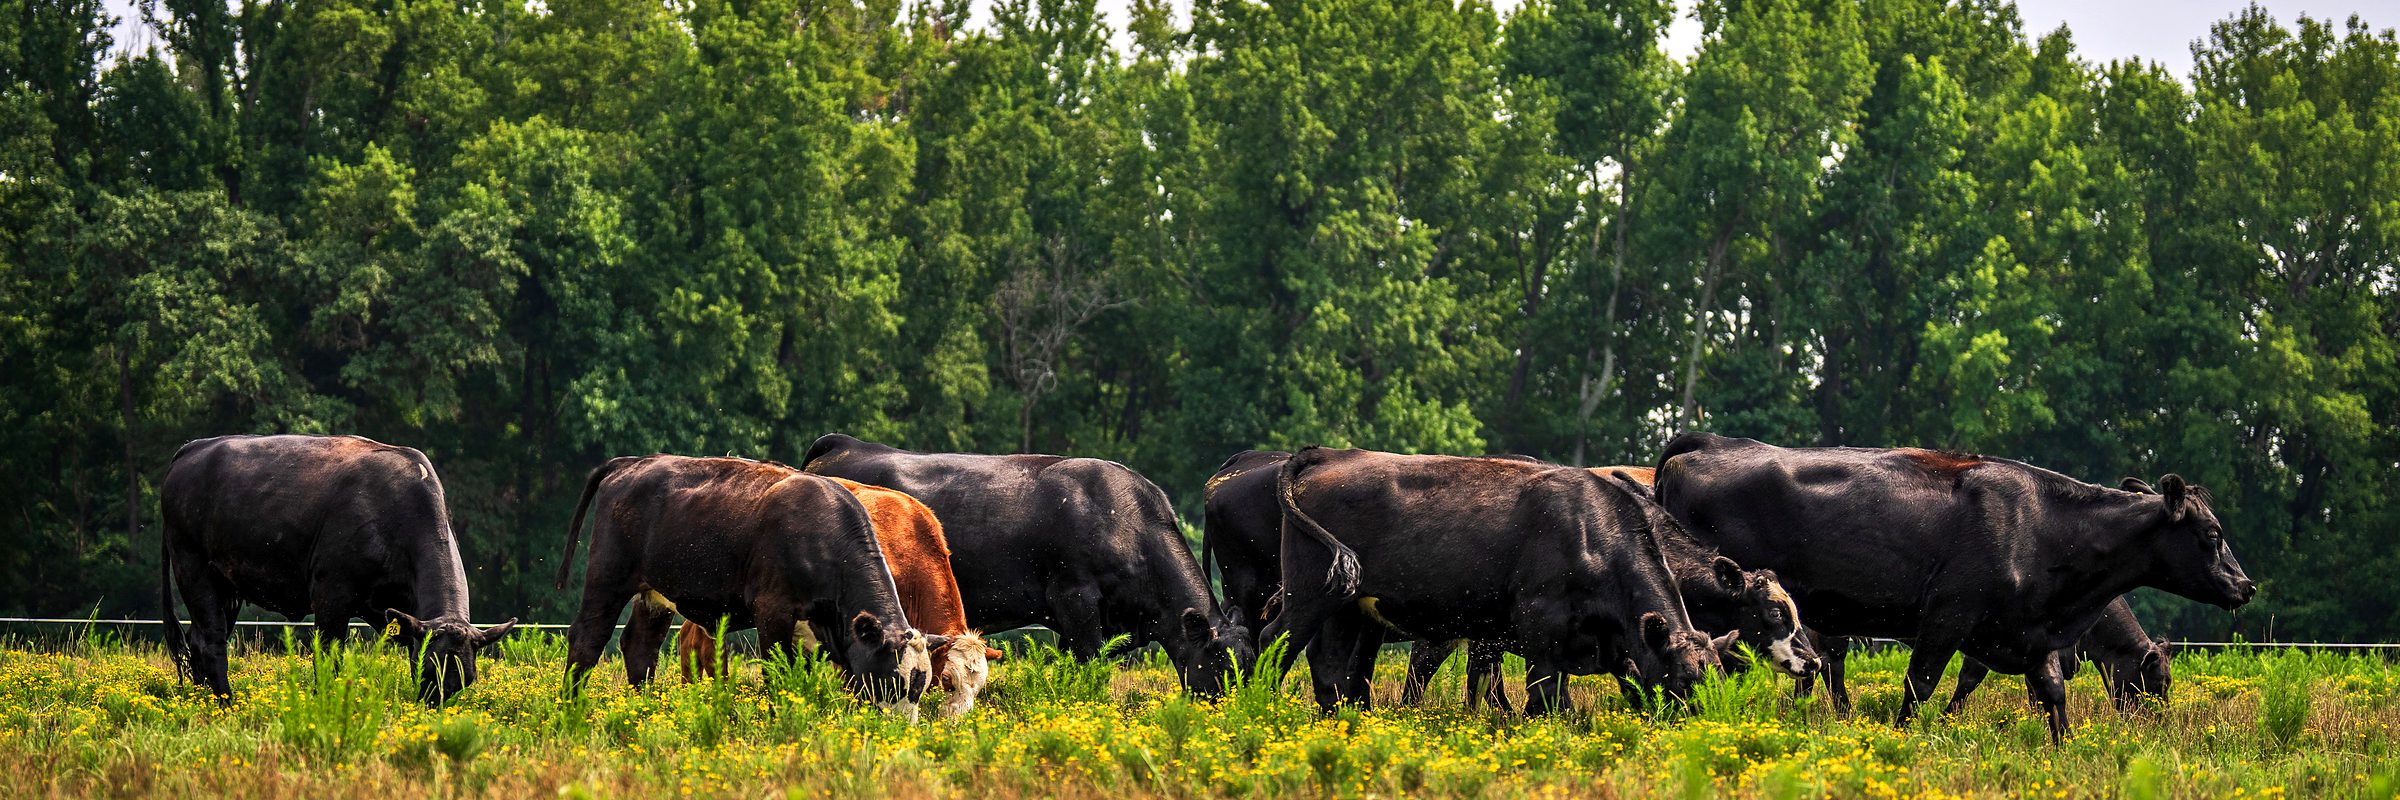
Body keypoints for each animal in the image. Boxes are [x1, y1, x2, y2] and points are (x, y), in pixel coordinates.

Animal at [159, 434, 517, 705]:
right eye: (429, 671)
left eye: (466, 680)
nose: (432, 710)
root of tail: (195, 446)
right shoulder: (332, 593)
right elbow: (328, 659)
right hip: (192, 567)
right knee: (211, 642)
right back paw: (225, 704)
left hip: (227, 586)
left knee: (197, 639)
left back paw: (202, 699)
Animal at [555, 455, 944, 718]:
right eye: (894, 679)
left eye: (921, 685)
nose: (901, 729)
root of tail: (632, 462)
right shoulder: (773, 613)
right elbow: (777, 673)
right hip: (608, 578)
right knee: (587, 639)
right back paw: (571, 707)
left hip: (654, 593)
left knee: (639, 646)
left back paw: (645, 710)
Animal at [801, 433, 1253, 696]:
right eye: (1223, 667)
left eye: (1251, 666)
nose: (1242, 712)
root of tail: (842, 442)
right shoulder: (1075, 598)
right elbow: (1089, 664)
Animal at [1262, 447, 1724, 715]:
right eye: (1686, 681)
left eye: (1719, 677)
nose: (1710, 722)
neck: (1593, 532)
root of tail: (1329, 453)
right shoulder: (1541, 624)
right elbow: (1547, 695)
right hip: (1308, 594)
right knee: (1275, 641)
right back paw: (1257, 703)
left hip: (1345, 606)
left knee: (1327, 663)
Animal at [1653, 432, 2255, 740]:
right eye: (2212, 534)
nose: (2246, 586)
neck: (2044, 523)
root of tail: (1705, 443)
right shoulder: (1949, 617)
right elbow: (1921, 684)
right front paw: (1904, 737)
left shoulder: (2028, 634)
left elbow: (2052, 696)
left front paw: (2063, 752)